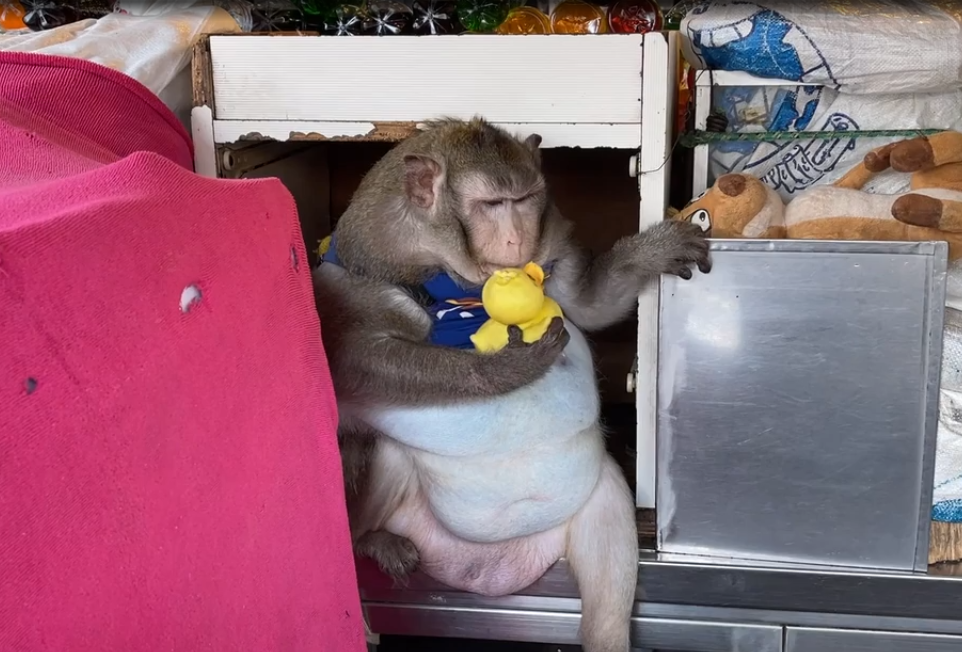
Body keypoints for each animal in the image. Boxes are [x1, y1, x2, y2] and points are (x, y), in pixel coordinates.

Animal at [312, 117, 710, 652]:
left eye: (524, 199)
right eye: (492, 205)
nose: (517, 238)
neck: (454, 280)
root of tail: (484, 574)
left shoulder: (553, 250)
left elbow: (585, 306)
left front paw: (652, 252)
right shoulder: (355, 280)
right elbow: (353, 362)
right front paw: (507, 368)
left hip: (594, 504)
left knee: (607, 584)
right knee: (381, 448)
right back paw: (367, 539)